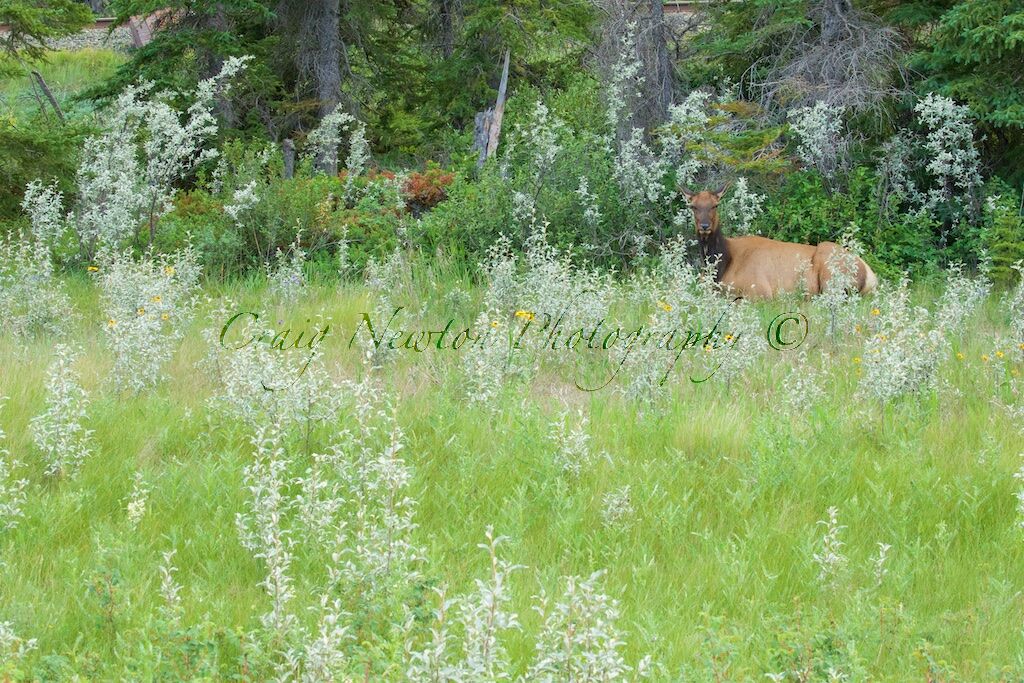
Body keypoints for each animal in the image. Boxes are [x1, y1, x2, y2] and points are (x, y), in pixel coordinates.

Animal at [681, 184, 878, 299]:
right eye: (693, 206)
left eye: (715, 205)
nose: (704, 226)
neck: (722, 265)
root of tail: (870, 275)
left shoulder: (760, 291)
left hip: (830, 268)